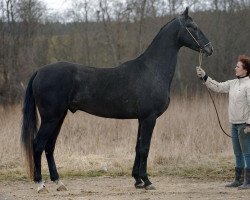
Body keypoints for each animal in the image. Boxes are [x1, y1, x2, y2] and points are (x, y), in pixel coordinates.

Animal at [21, 7, 213, 192]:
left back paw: (58, 182)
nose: (210, 49)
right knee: (37, 145)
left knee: (49, 146)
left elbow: (138, 147)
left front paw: (137, 180)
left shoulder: (141, 119)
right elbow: (145, 148)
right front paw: (147, 181)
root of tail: (39, 71)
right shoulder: (149, 118)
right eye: (193, 27)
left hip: (59, 117)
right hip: (50, 118)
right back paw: (40, 184)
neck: (152, 70)